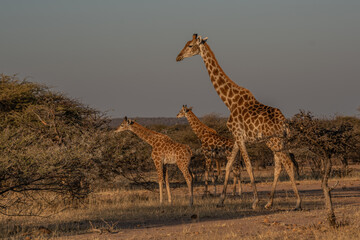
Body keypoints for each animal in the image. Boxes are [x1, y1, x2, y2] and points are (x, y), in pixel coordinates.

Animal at [175, 33, 300, 210]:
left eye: (190, 45)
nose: (178, 57)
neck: (229, 101)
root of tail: (285, 123)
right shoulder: (236, 137)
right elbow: (228, 166)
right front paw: (221, 200)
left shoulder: (240, 137)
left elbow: (248, 166)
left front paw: (254, 201)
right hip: (276, 142)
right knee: (279, 166)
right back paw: (269, 203)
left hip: (275, 141)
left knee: (287, 163)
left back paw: (297, 202)